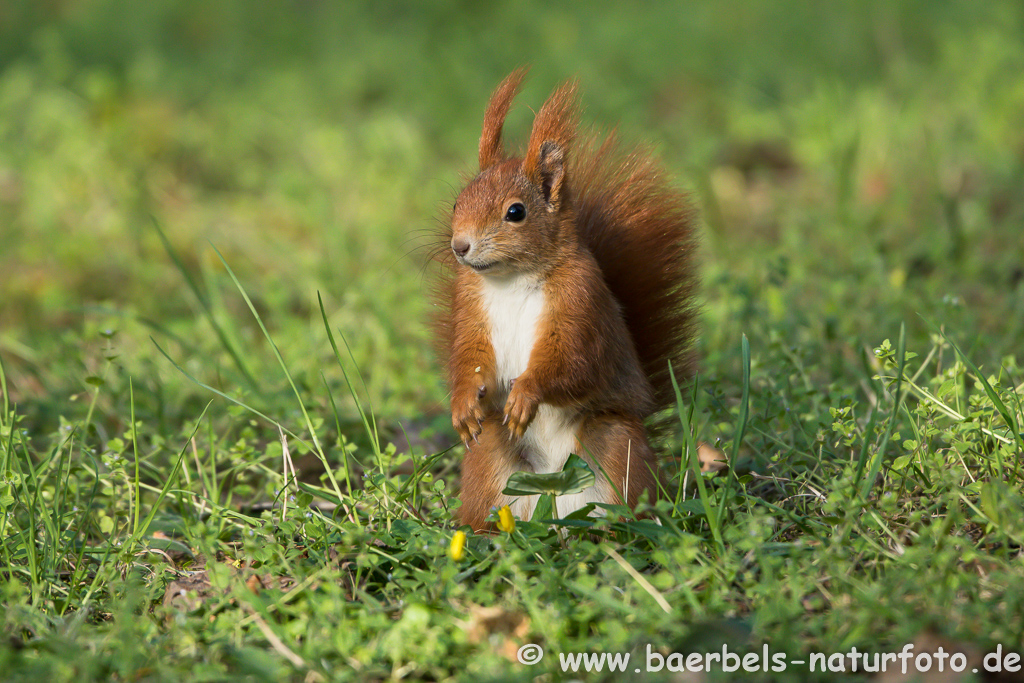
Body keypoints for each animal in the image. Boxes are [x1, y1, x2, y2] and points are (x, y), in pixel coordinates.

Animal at [428, 69, 700, 532]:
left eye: (516, 212)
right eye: (457, 202)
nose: (459, 247)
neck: (511, 280)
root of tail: (554, 494)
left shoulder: (579, 303)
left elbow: (570, 362)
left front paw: (526, 394)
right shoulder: (473, 309)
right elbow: (470, 358)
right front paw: (463, 405)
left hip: (617, 446)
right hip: (490, 460)